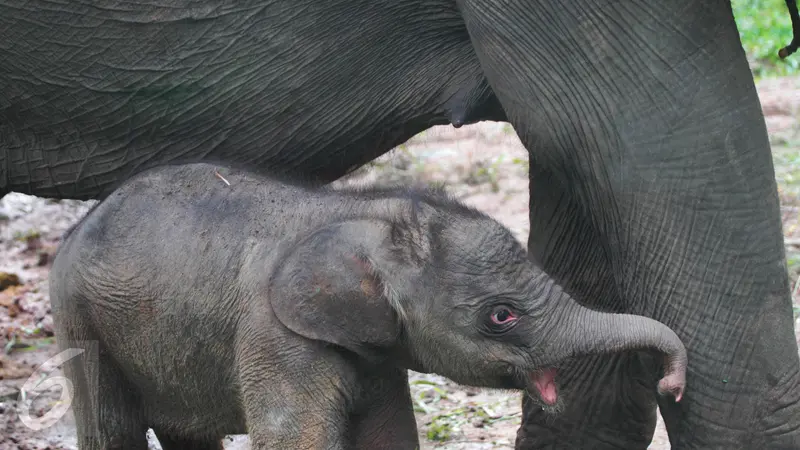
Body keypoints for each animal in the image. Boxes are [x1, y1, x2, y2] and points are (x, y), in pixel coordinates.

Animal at [51, 163, 688, 450]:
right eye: (501, 315)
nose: (672, 385)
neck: (363, 212)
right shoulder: (276, 338)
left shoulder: (376, 351)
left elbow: (389, 434)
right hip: (78, 320)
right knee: (110, 426)